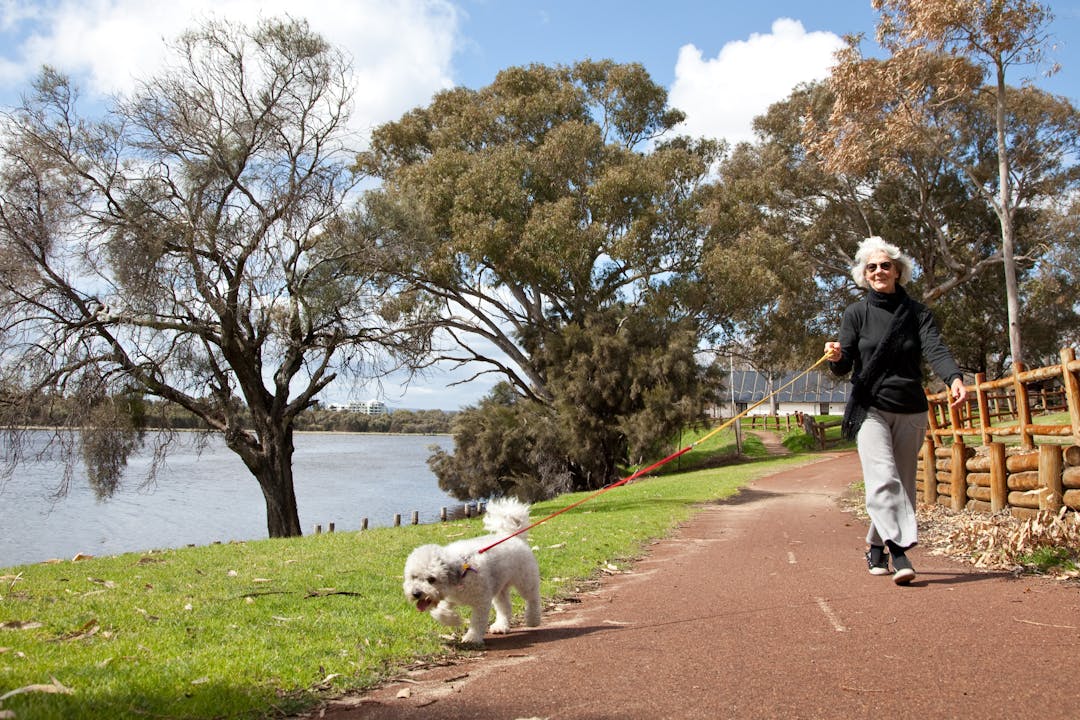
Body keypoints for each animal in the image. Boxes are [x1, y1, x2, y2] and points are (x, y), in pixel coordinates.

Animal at [401, 496, 540, 647]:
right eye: (413, 577)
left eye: (431, 579)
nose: (416, 593)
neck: (461, 573)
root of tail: (512, 535)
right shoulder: (451, 598)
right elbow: (439, 612)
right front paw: (454, 619)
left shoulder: (481, 602)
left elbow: (477, 621)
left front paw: (472, 638)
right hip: (499, 587)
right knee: (505, 607)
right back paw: (501, 626)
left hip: (525, 580)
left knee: (532, 598)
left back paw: (533, 620)